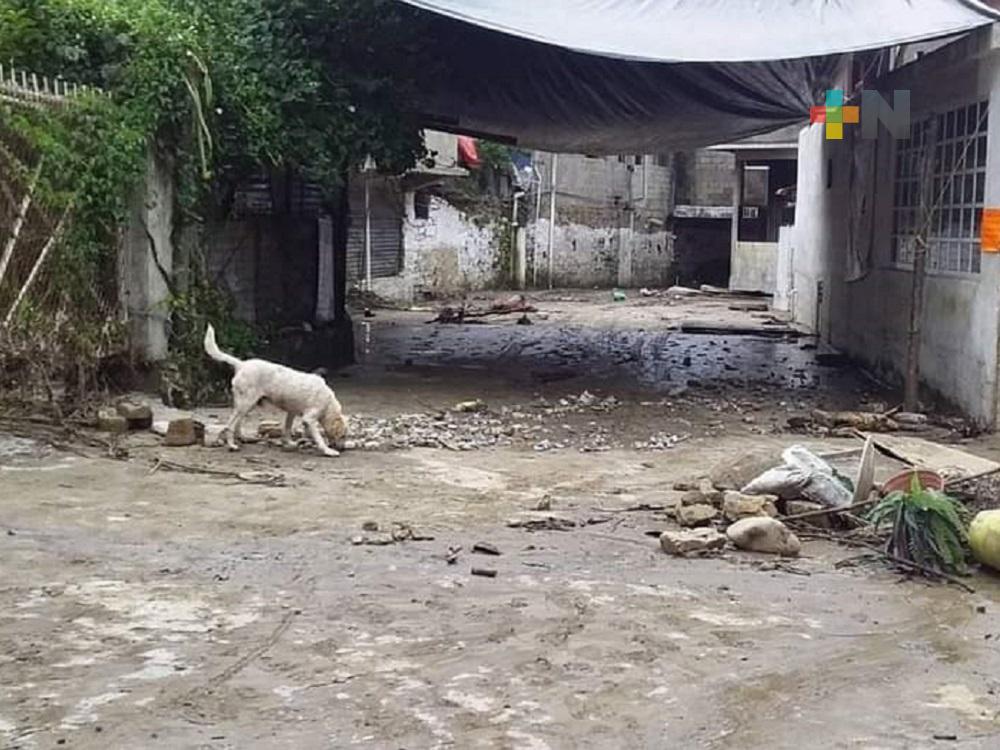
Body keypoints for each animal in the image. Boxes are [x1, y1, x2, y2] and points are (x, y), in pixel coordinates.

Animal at [203, 324, 348, 458]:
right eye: (343, 435)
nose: (343, 449)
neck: (328, 403)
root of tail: (242, 364)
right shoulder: (309, 419)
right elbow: (319, 438)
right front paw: (328, 450)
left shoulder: (291, 412)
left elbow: (287, 428)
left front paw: (288, 443)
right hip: (246, 403)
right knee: (230, 425)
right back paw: (232, 445)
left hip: (247, 405)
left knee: (238, 422)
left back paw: (244, 439)